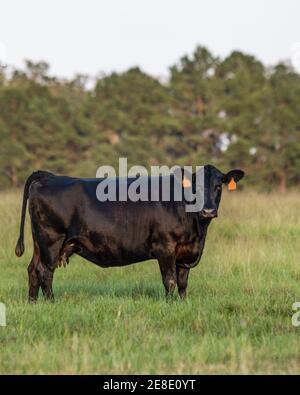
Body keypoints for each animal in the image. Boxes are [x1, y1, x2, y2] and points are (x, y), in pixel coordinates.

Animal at [15, 166, 244, 302]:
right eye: (195, 187)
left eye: (218, 186)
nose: (208, 210)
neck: (197, 229)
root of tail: (49, 176)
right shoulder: (165, 247)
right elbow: (170, 281)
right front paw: (170, 305)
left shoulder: (185, 252)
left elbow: (183, 283)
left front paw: (182, 303)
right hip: (51, 239)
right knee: (45, 271)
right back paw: (52, 301)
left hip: (40, 242)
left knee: (33, 269)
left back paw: (33, 303)